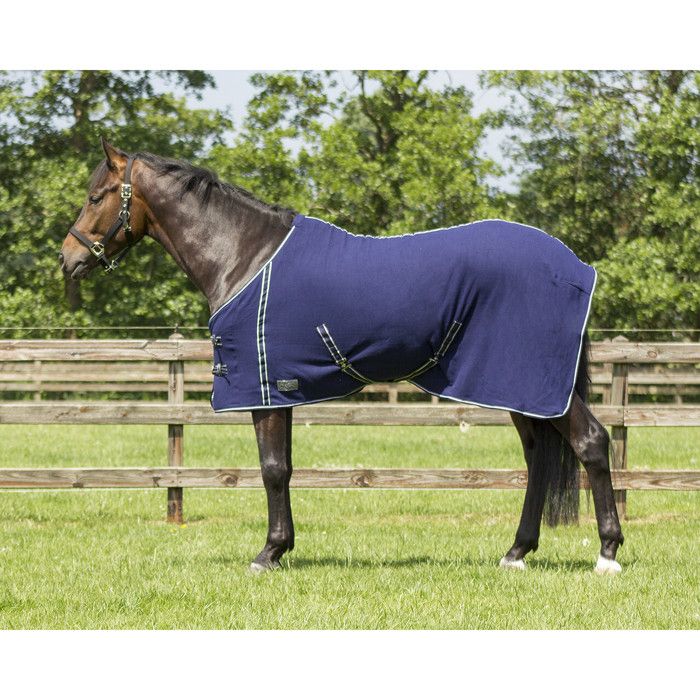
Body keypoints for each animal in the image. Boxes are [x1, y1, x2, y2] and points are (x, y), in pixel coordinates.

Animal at [59, 139, 624, 575]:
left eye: (95, 197)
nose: (68, 257)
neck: (243, 254)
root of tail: (575, 266)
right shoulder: (281, 388)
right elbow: (284, 467)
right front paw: (280, 548)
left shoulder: (263, 386)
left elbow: (272, 469)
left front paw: (268, 554)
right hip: (516, 385)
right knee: (538, 458)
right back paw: (516, 552)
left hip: (532, 383)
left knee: (591, 442)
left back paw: (607, 553)